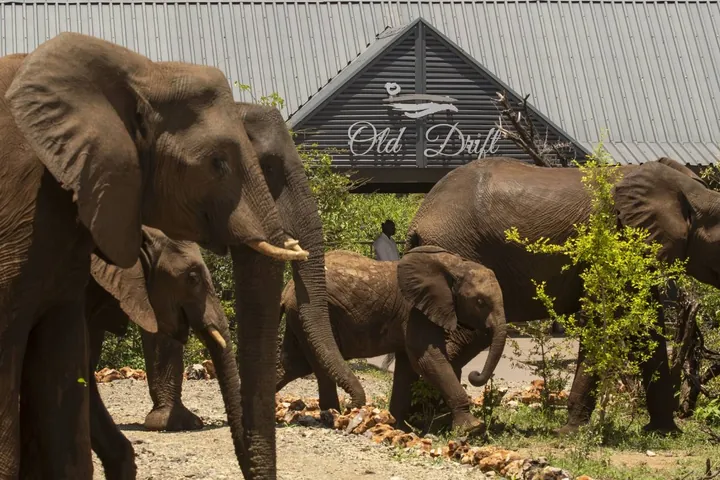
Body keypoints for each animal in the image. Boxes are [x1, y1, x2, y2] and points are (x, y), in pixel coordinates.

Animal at [275, 247, 507, 433]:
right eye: (480, 302)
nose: (474, 375)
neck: (454, 265)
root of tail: (285, 290)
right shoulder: (415, 312)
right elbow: (427, 360)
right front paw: (473, 429)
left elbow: (408, 366)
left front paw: (398, 428)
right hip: (308, 315)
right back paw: (334, 419)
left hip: (299, 319)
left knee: (293, 364)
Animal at [402, 155, 720, 436]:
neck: (688, 192)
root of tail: (419, 218)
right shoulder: (610, 240)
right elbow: (600, 320)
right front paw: (571, 432)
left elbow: (645, 325)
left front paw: (664, 431)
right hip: (460, 248)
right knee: (462, 338)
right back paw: (435, 424)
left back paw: (425, 422)